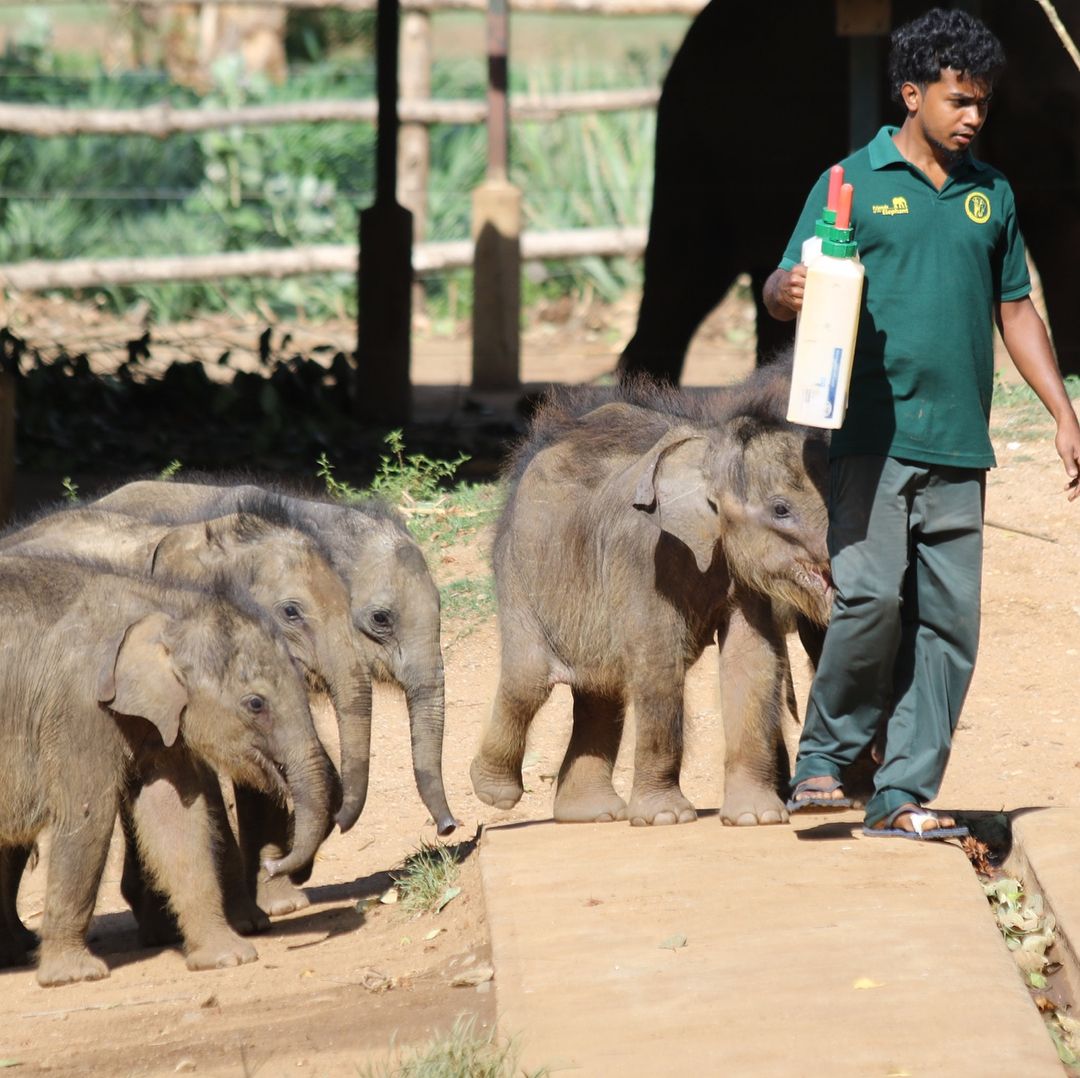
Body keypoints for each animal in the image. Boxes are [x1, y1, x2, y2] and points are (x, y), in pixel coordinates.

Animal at [468, 375, 829, 829]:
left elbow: (751, 660)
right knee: (528, 680)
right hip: (521, 570)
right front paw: (666, 819)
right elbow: (658, 662)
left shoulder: (744, 577)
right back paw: (495, 794)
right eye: (781, 509)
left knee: (598, 693)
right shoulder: (642, 554)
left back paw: (593, 814)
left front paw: (756, 819)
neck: (707, 448)